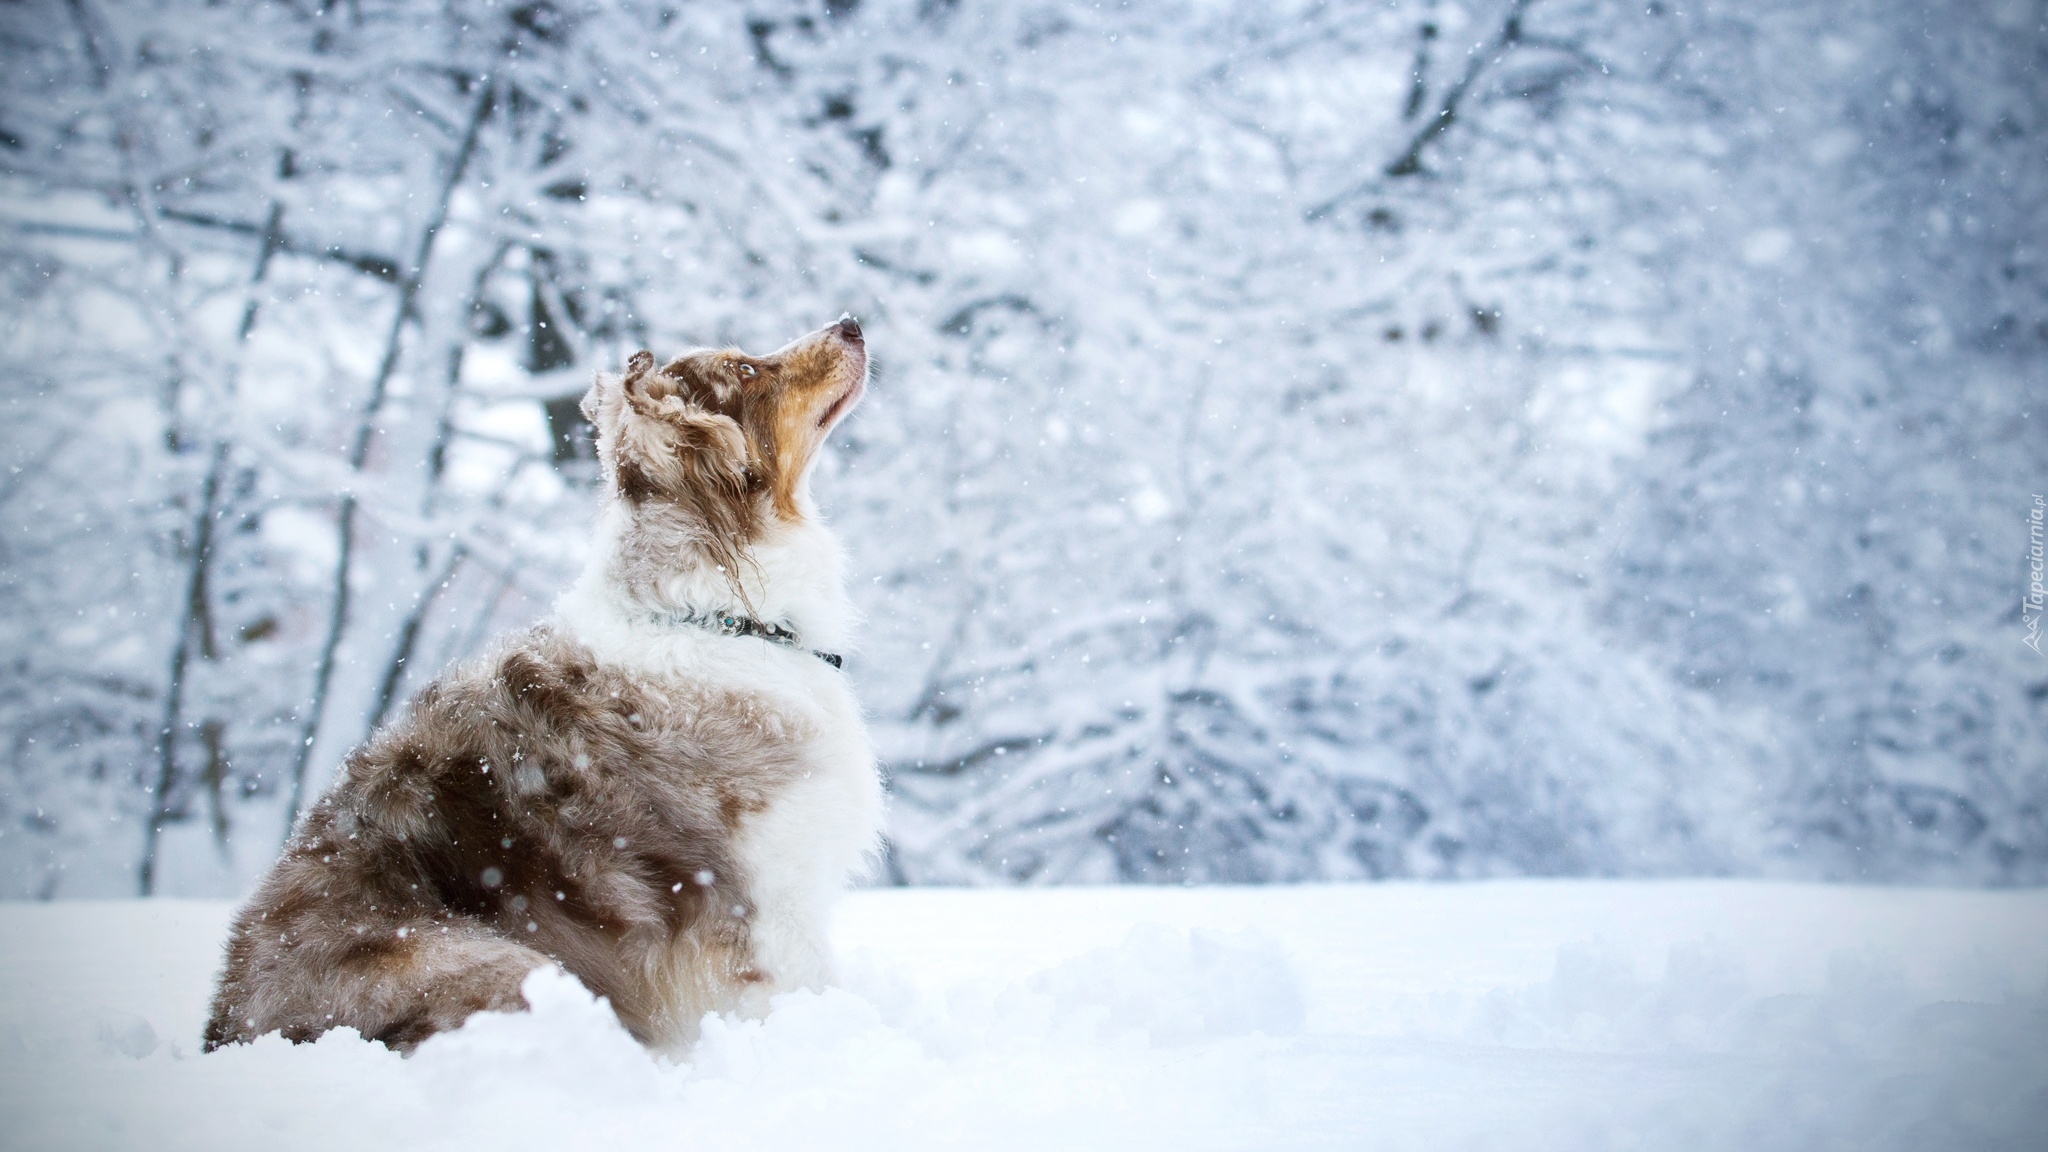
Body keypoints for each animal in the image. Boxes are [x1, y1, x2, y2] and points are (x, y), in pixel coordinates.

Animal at [203, 313, 884, 1049]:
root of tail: (226, 1026)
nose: (851, 322)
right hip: (511, 968)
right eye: (748, 369)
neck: (717, 619)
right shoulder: (766, 903)